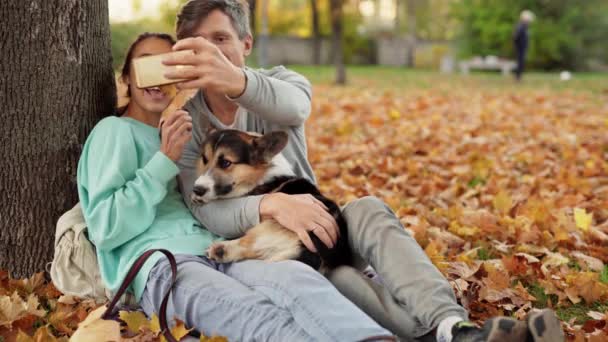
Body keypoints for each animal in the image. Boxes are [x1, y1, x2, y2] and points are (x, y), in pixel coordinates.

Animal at [190, 130, 352, 272]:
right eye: (204, 159)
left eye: (225, 162)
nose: (197, 189)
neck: (262, 171)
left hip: (268, 226)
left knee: (248, 243)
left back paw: (220, 249)